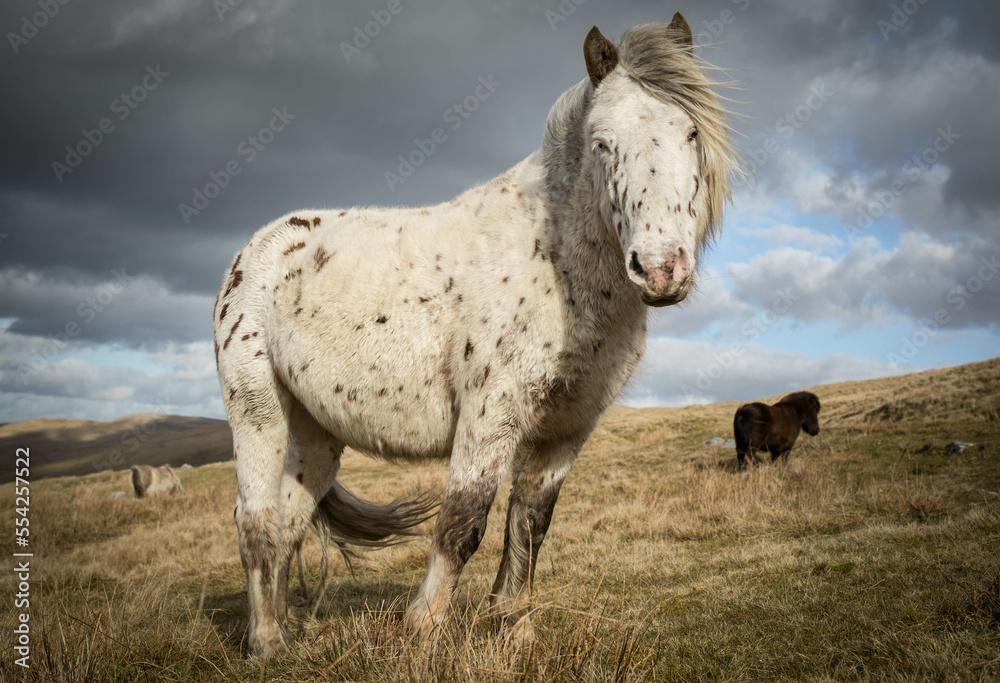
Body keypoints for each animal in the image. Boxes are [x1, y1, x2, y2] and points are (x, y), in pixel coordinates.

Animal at [213, 13, 740, 657]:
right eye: (602, 143)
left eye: (690, 132)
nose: (661, 268)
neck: (553, 259)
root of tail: (255, 251)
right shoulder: (492, 412)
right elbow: (463, 522)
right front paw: (424, 630)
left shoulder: (566, 426)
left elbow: (530, 522)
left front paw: (514, 628)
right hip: (258, 414)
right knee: (255, 522)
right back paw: (266, 643)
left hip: (314, 432)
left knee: (288, 524)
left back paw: (286, 633)